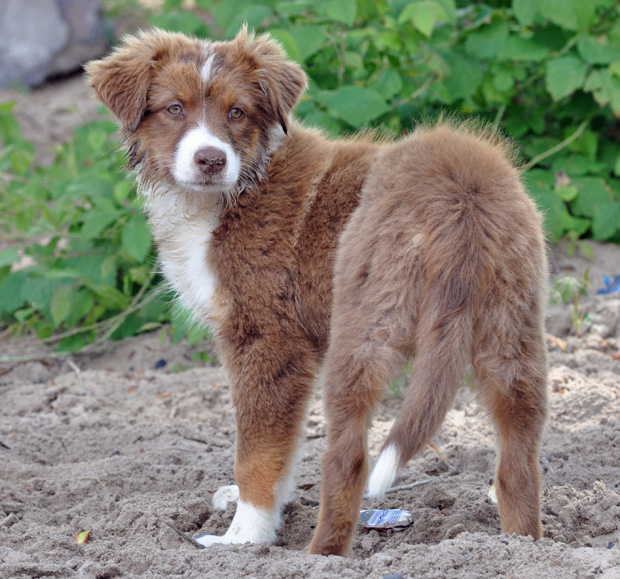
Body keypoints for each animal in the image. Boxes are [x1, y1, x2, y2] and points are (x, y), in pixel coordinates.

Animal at [87, 27, 548, 556]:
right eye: (174, 109)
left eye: (236, 112)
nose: (211, 160)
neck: (237, 185)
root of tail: (463, 194)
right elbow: (281, 448)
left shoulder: (268, 339)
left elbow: (257, 449)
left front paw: (243, 537)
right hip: (511, 332)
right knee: (518, 461)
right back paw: (523, 548)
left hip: (364, 333)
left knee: (348, 458)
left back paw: (320, 557)